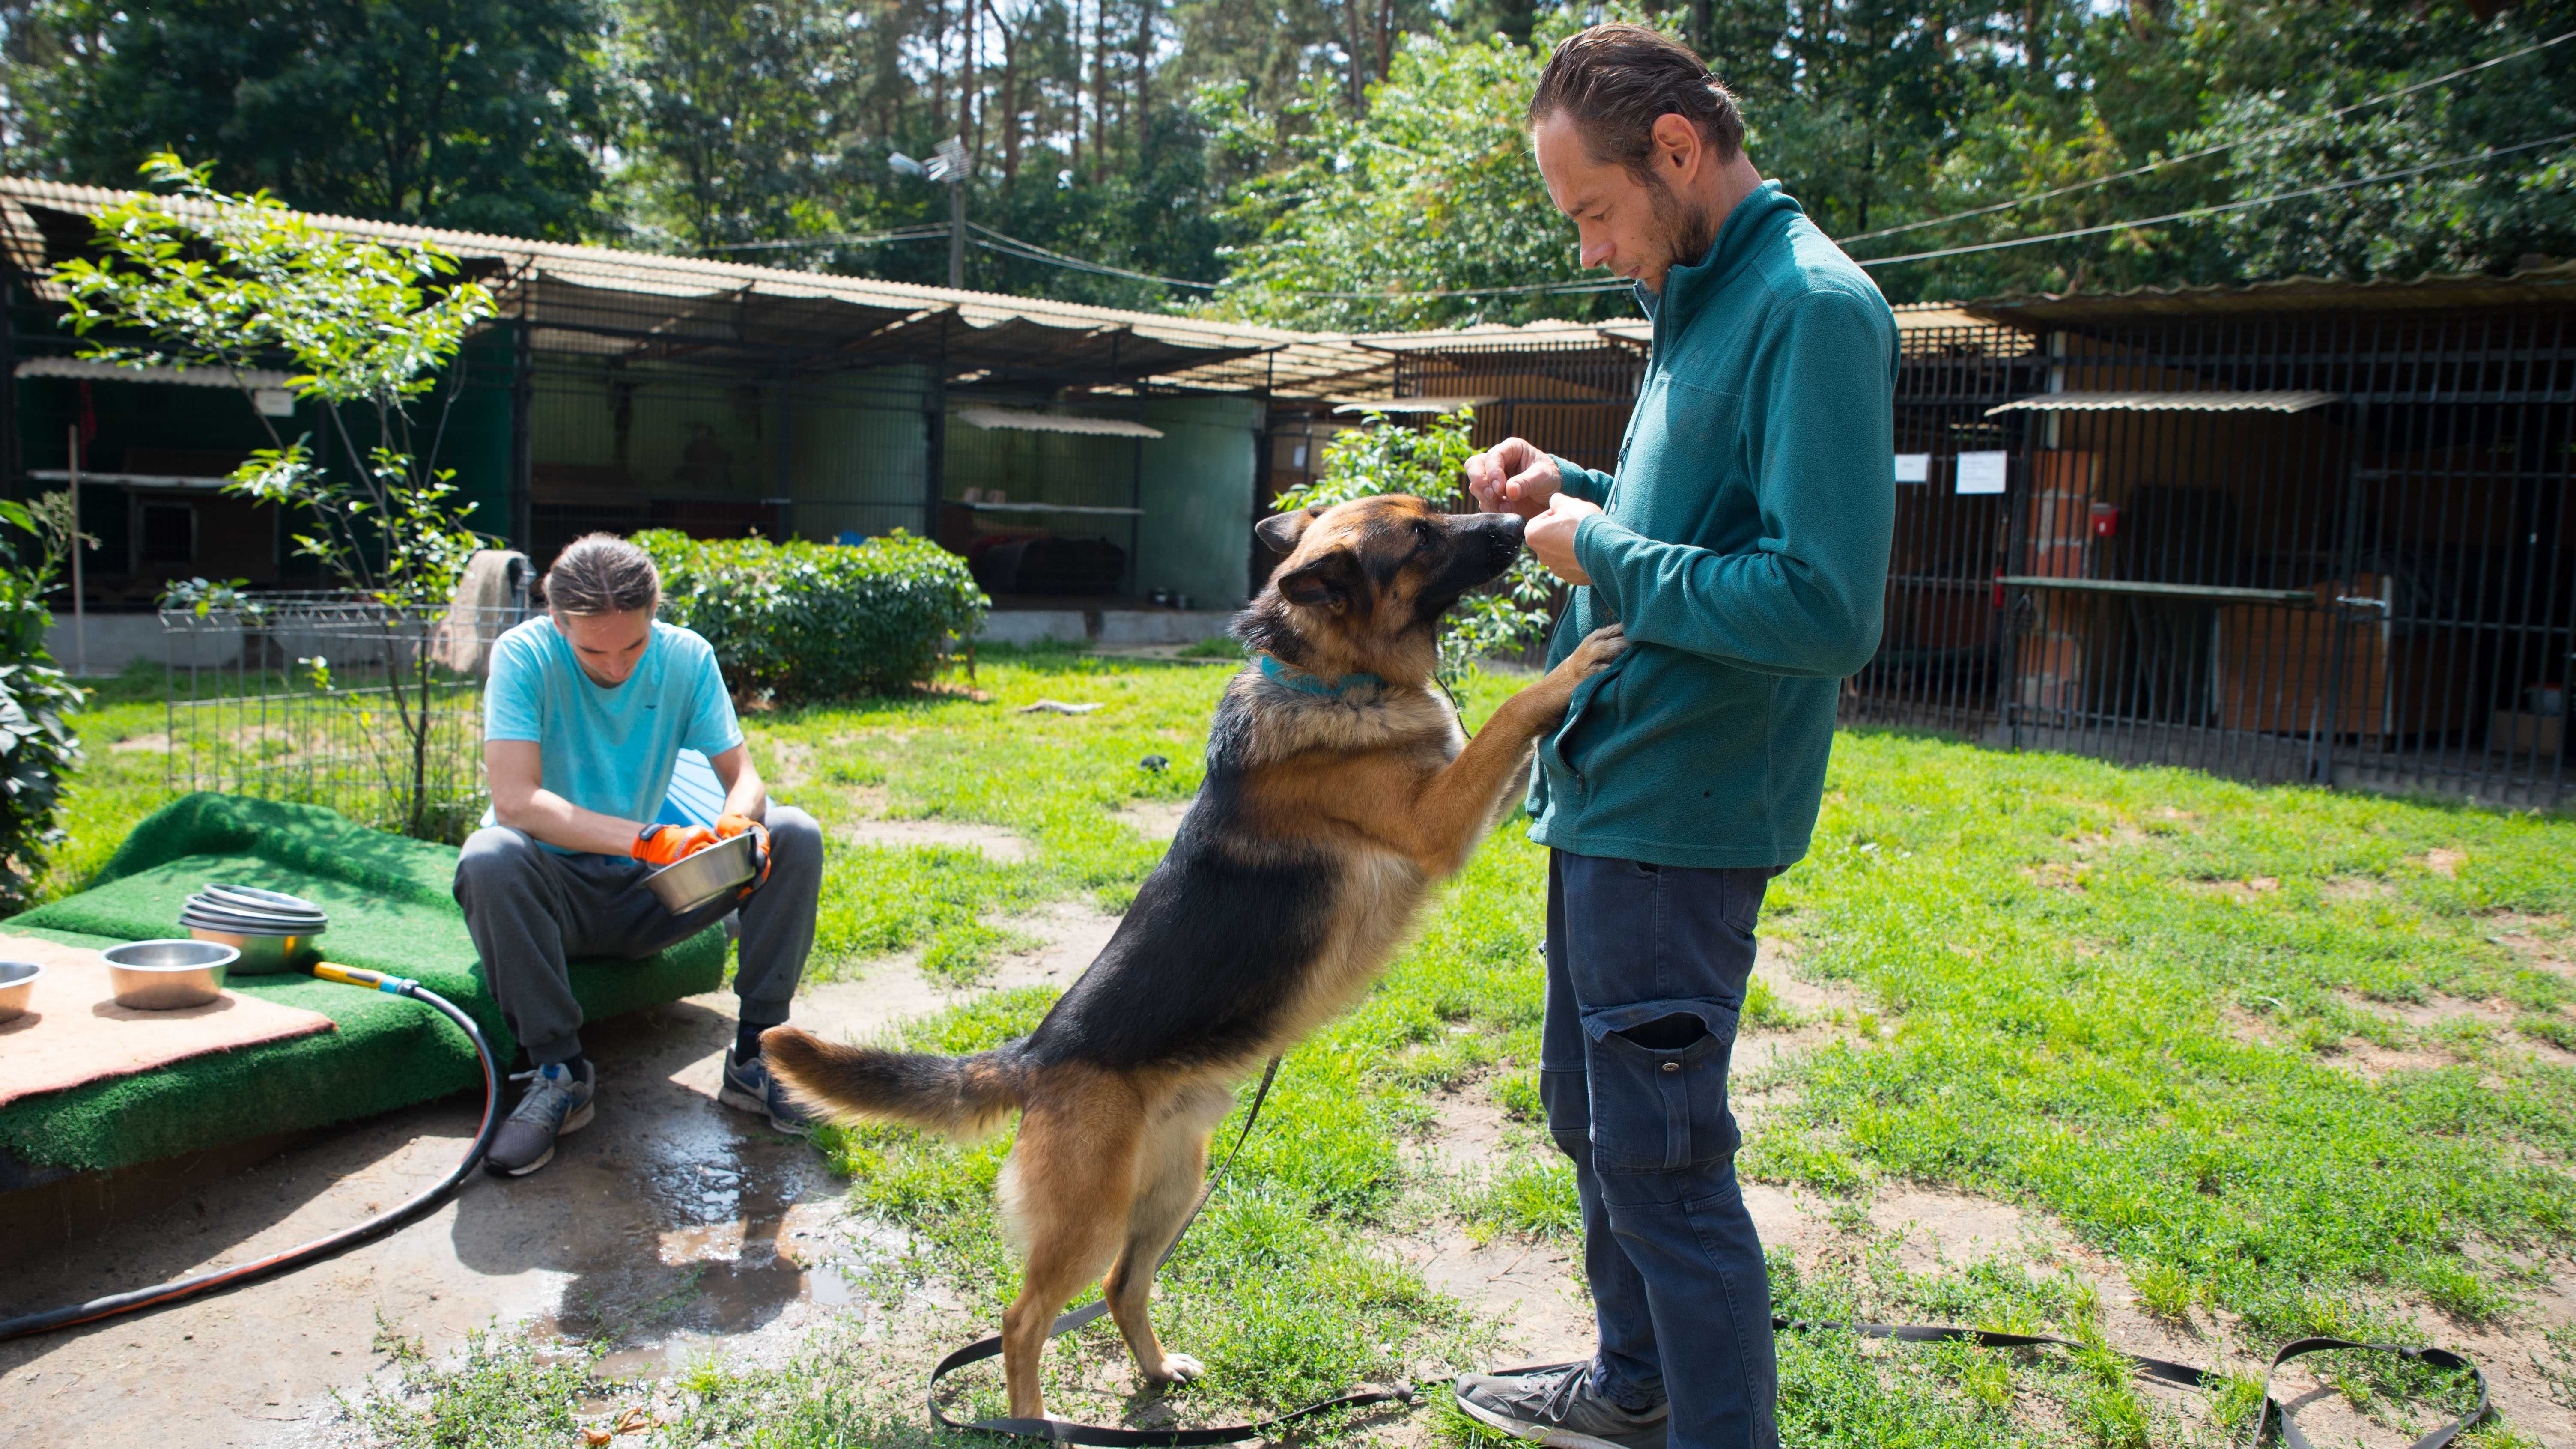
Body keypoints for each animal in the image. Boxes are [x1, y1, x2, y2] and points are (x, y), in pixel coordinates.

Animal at [752, 492, 1618, 1413]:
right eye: (1420, 534)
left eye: (1438, 511)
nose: (1516, 521)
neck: (1331, 675)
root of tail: (1035, 1054)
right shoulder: (1438, 821)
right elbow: (1508, 713)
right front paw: (1577, 663)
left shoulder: (1466, 805)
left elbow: (1511, 744)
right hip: (1090, 1217)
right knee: (1023, 1318)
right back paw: (1032, 1419)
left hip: (1175, 1187)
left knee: (1121, 1285)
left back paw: (1157, 1369)